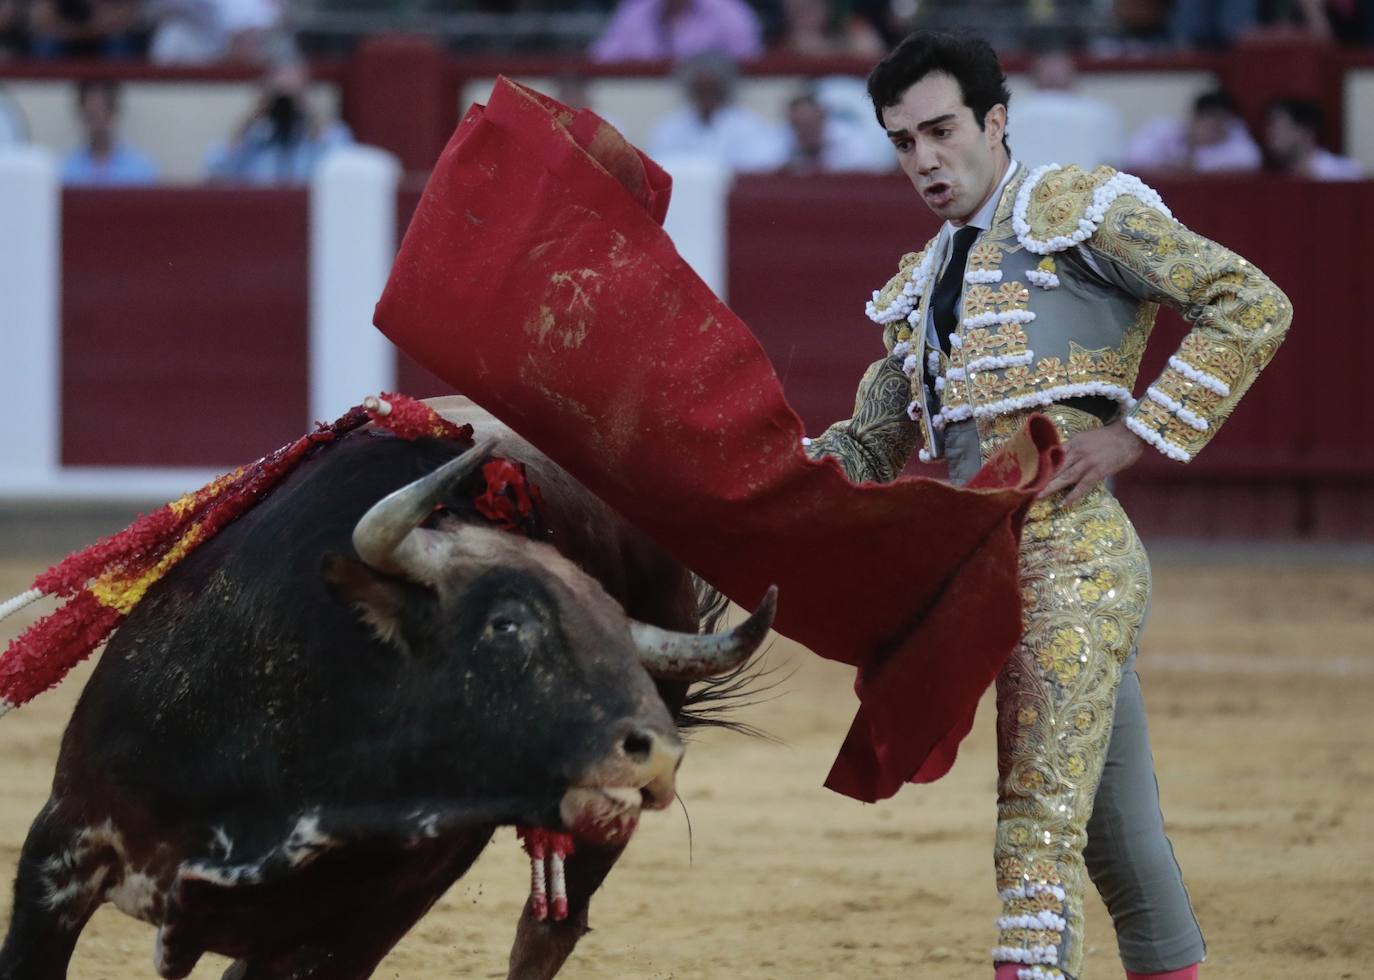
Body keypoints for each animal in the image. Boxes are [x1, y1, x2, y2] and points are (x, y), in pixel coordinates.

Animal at [0, 398, 774, 978]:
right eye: (506, 624)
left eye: (618, 636)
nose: (656, 754)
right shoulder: (62, 849)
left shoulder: (347, 935)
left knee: (548, 933)